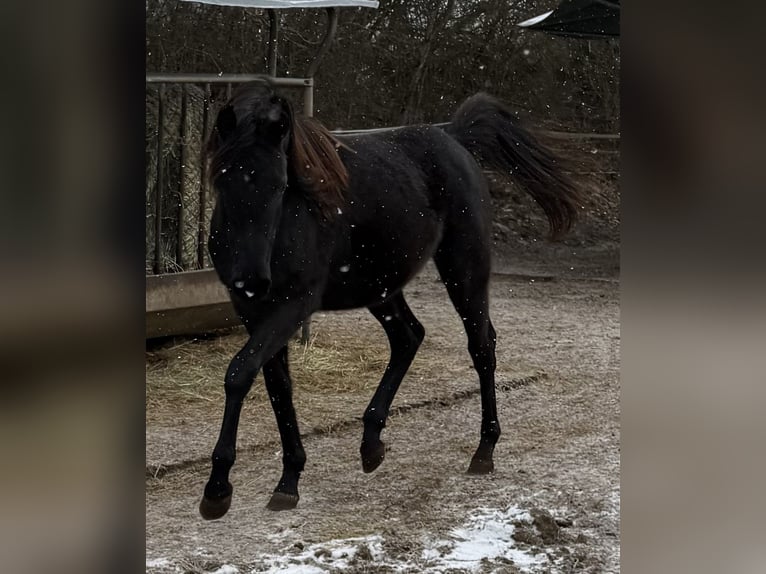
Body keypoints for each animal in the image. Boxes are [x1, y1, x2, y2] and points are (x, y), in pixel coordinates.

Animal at [198, 80, 581, 519]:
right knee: (408, 337)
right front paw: (288, 479)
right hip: (379, 287)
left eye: (280, 185)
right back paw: (371, 443)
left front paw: (218, 489)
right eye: (222, 180)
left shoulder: (292, 305)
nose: (251, 278)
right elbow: (277, 386)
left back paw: (483, 450)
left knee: (481, 345)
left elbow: (239, 373)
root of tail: (454, 137)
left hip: (463, 269)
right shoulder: (254, 311)